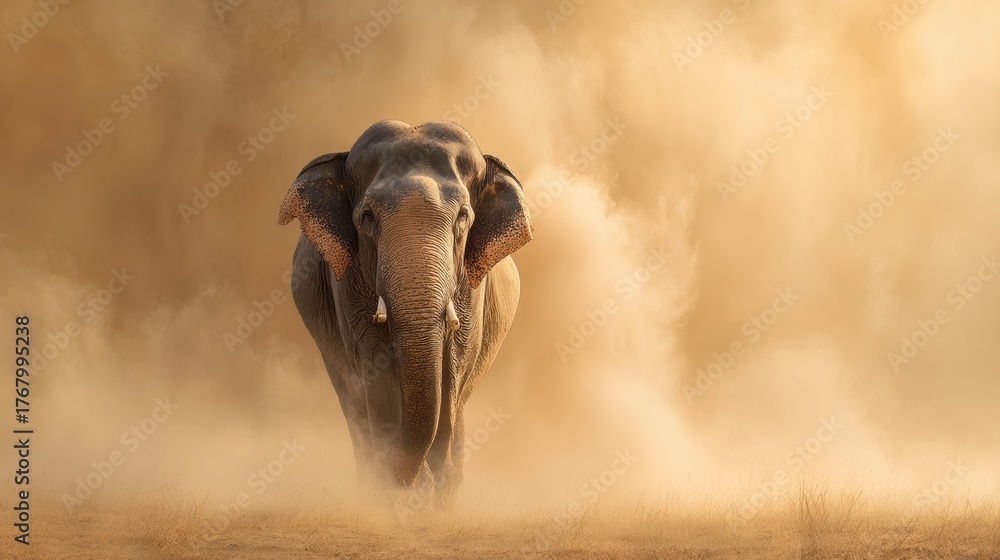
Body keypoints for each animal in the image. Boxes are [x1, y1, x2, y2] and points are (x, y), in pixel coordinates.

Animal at [277, 120, 532, 508]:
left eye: (463, 217)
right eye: (367, 217)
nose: (414, 481)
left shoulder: (472, 286)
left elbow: (453, 363)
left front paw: (431, 497)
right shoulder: (348, 282)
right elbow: (376, 363)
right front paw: (399, 496)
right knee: (352, 400)